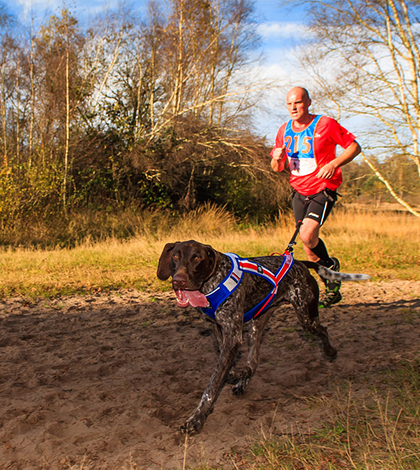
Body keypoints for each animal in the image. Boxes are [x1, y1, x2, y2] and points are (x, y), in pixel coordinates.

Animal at [156, 241, 370, 436]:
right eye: (175, 256)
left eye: (197, 258)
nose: (178, 280)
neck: (212, 283)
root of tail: (299, 263)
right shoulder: (219, 329)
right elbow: (223, 366)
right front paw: (234, 374)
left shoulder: (232, 335)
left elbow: (212, 385)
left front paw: (196, 419)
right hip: (257, 323)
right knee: (253, 361)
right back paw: (242, 377)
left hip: (306, 316)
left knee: (323, 330)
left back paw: (329, 351)